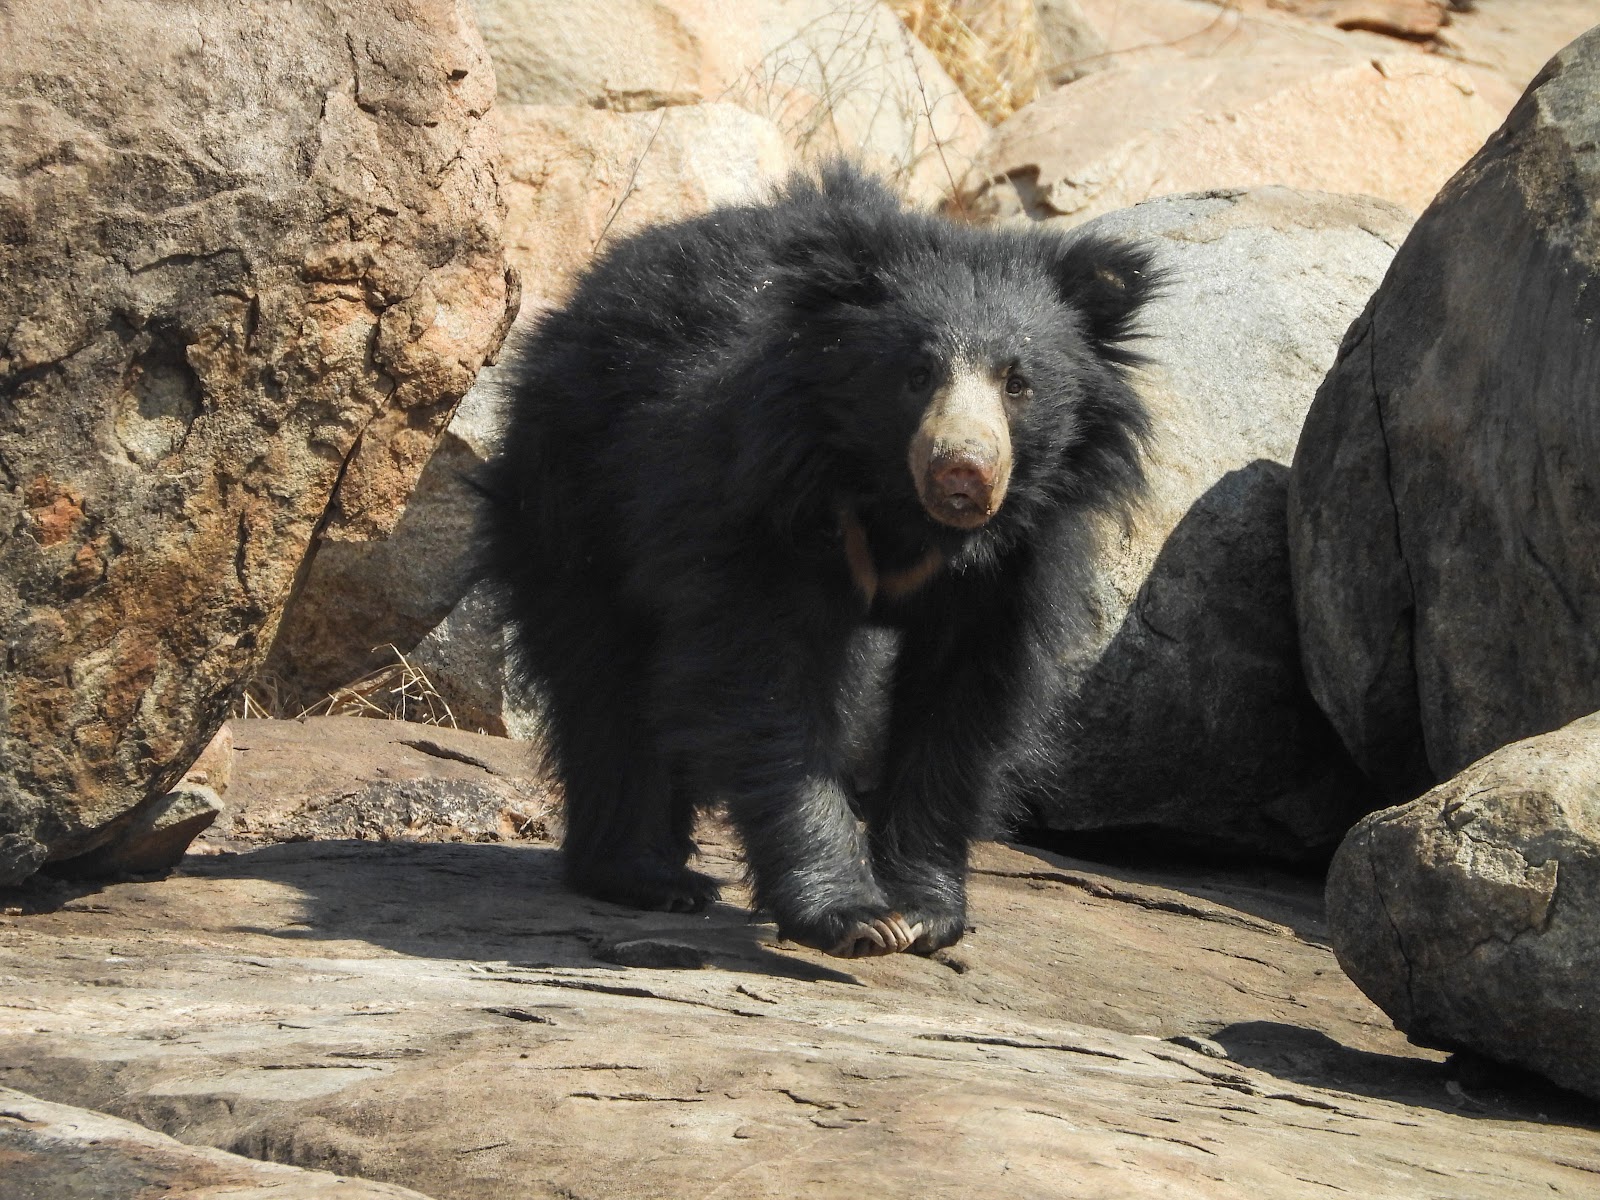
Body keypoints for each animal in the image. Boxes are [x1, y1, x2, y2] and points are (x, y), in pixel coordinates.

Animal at [480, 163, 1159, 958]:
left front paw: (924, 912)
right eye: (916, 375)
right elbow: (766, 686)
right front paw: (856, 918)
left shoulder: (1014, 559)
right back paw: (649, 877)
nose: (963, 469)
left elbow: (964, 702)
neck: (904, 512)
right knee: (604, 679)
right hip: (574, 494)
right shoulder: (760, 501)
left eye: (1017, 383)